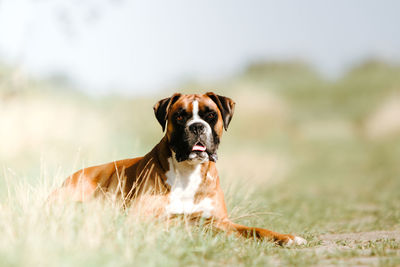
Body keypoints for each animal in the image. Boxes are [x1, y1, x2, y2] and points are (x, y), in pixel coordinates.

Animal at [50, 92, 306, 247]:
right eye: (180, 116)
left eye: (211, 115)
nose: (197, 126)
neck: (188, 171)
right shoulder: (141, 218)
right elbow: (183, 221)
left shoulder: (223, 220)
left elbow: (256, 229)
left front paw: (288, 237)